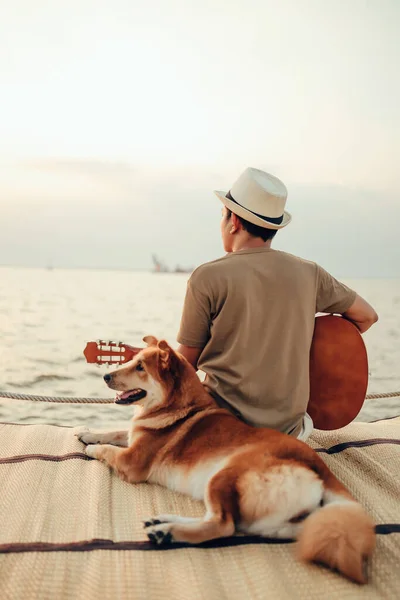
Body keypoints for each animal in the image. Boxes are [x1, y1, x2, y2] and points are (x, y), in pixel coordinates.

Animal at [77, 336, 376, 584]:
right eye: (131, 361)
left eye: (140, 367)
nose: (105, 375)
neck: (178, 407)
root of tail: (320, 469)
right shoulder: (133, 437)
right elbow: (115, 432)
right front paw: (87, 433)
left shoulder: (132, 461)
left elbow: (109, 450)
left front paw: (92, 449)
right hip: (272, 522)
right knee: (226, 521)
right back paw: (163, 523)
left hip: (223, 475)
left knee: (222, 525)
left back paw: (168, 532)